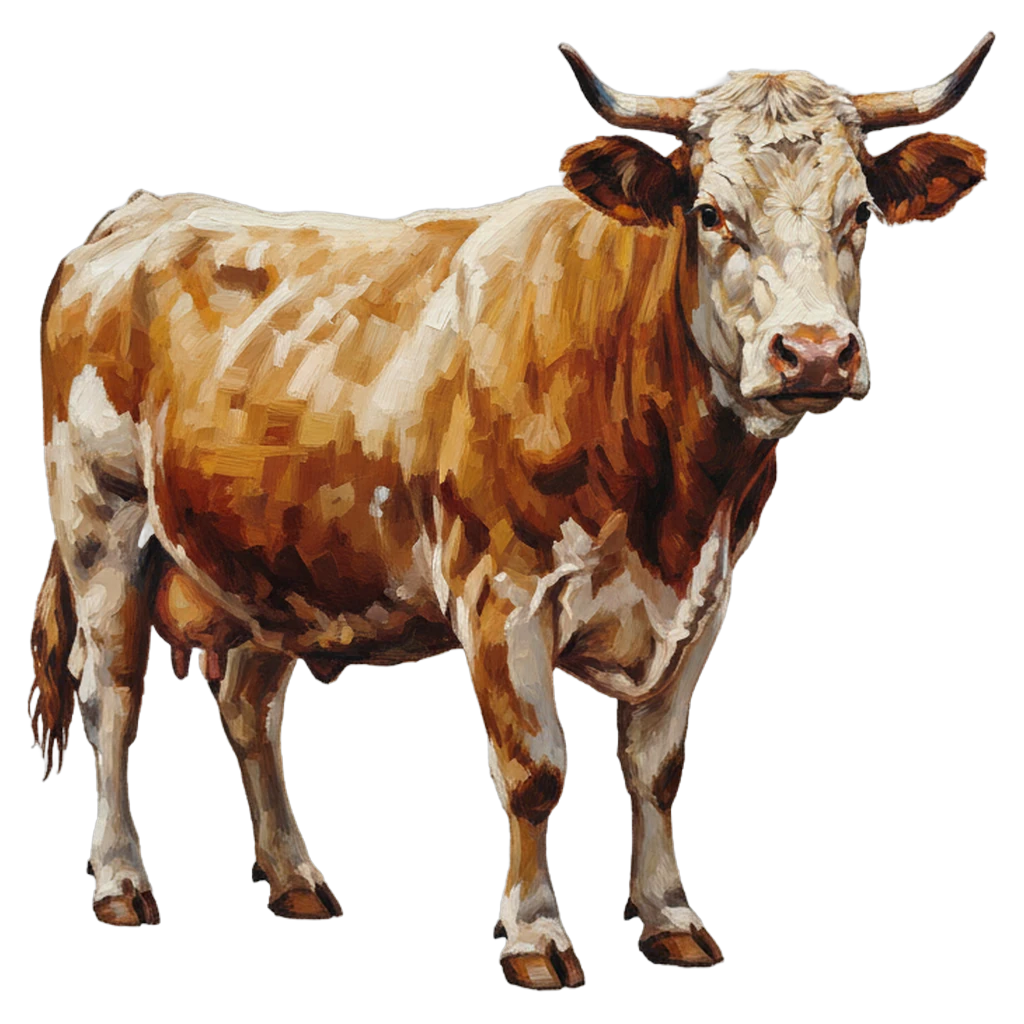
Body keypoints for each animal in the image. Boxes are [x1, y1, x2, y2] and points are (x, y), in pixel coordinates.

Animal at [31, 34, 992, 986]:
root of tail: (140, 216)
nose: (817, 353)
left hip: (275, 565)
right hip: (102, 524)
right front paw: (535, 937)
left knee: (248, 707)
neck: (676, 505)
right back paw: (122, 885)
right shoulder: (504, 592)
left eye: (860, 213)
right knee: (113, 696)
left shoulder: (701, 601)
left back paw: (298, 881)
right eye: (712, 214)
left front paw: (672, 920)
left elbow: (656, 769)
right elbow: (534, 772)